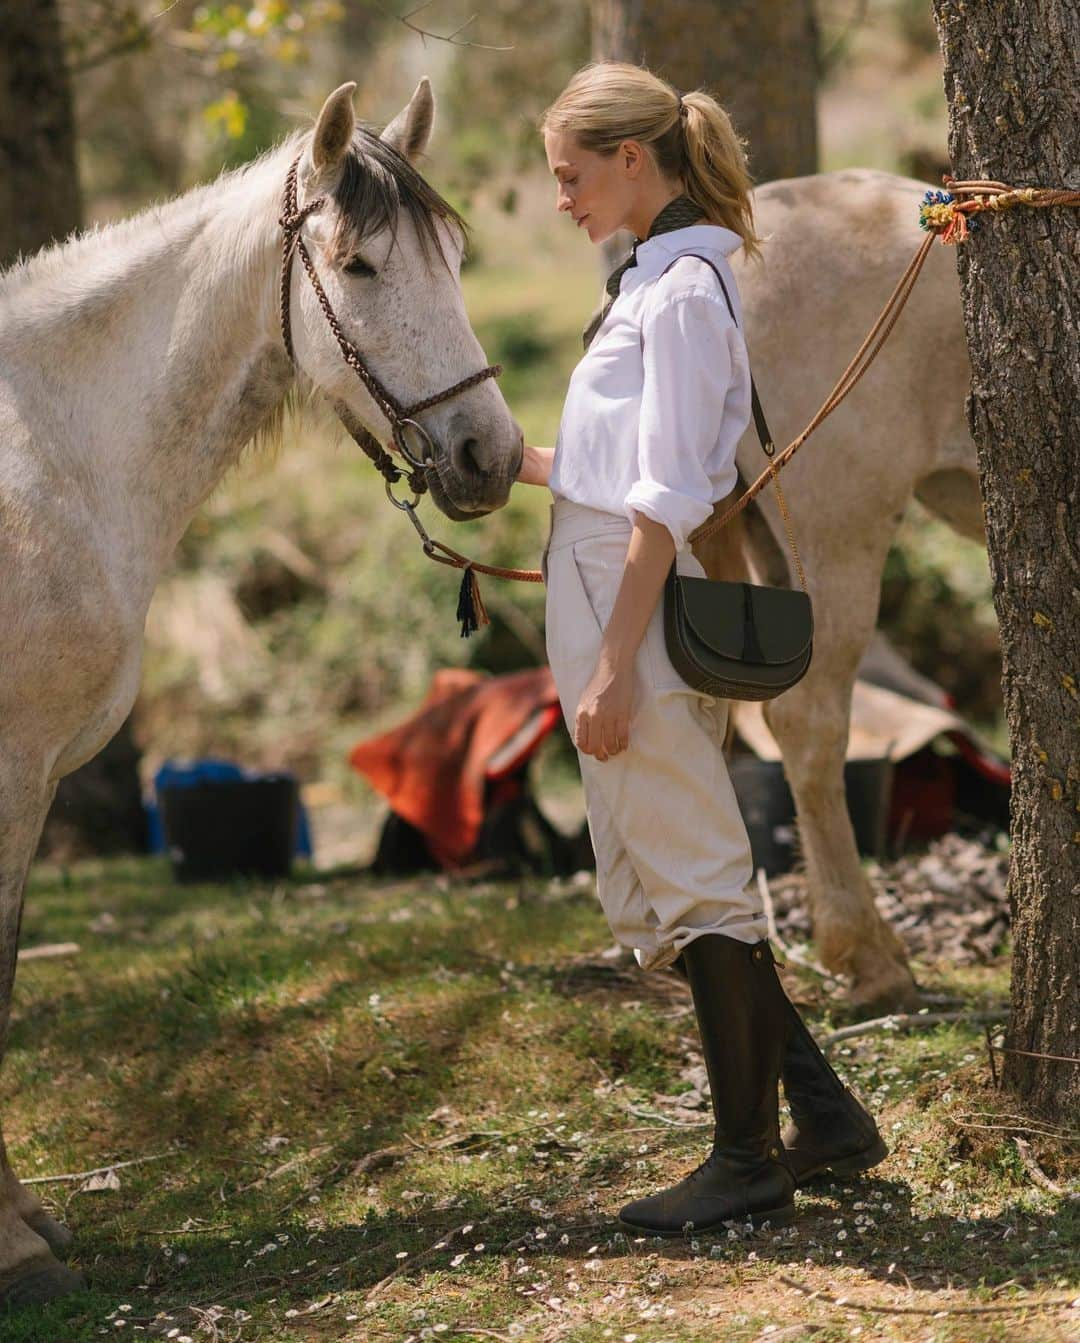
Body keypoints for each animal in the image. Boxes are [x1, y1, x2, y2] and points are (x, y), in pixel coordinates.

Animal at [0, 81, 523, 1300]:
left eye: (456, 255)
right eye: (362, 264)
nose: (494, 454)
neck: (50, 455)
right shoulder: (9, 775)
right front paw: (10, 1244)